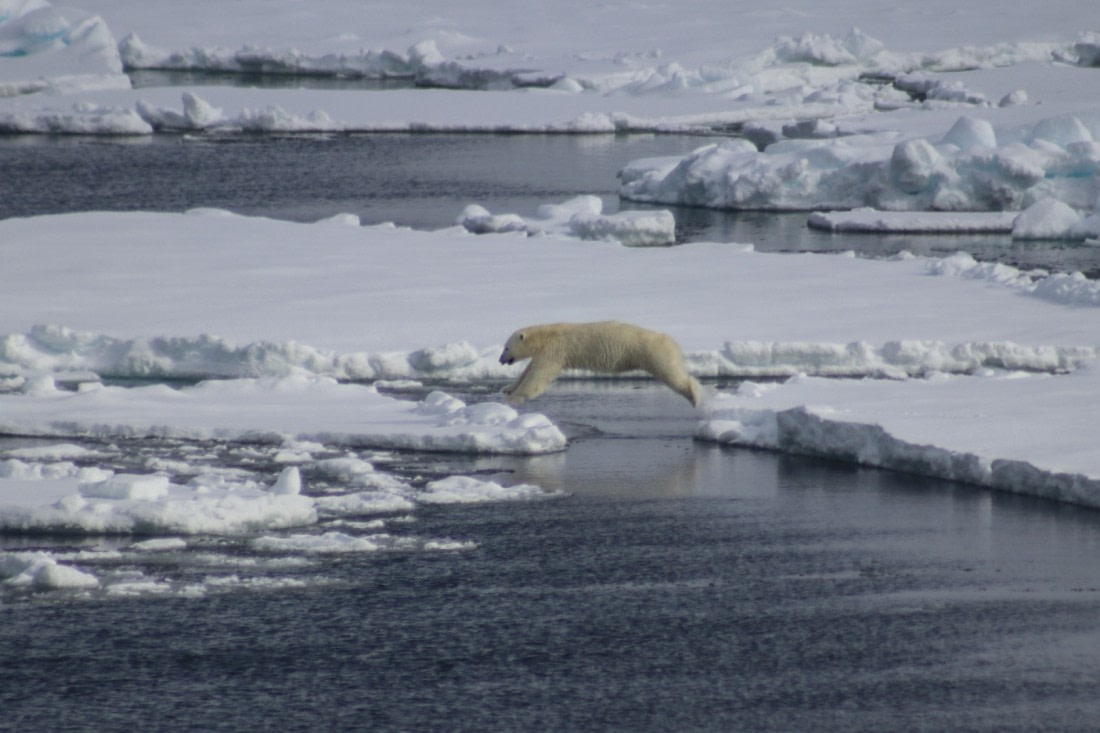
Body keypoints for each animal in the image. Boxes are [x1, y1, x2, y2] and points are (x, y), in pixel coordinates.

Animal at [498, 321, 703, 407]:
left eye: (506, 348)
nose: (500, 360)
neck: (546, 335)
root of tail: (671, 341)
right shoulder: (546, 352)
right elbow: (529, 369)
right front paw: (507, 388)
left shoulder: (555, 351)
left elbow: (538, 376)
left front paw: (514, 398)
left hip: (654, 353)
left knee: (673, 375)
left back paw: (694, 396)